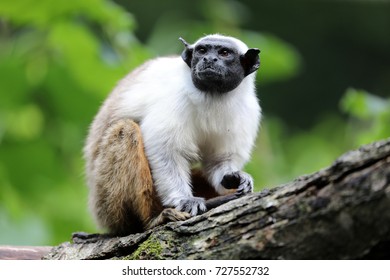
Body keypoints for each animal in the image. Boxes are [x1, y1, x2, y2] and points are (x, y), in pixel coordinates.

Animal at [83, 34, 260, 235]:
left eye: (224, 53)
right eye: (202, 51)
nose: (209, 60)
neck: (212, 96)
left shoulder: (248, 111)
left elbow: (218, 161)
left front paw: (234, 177)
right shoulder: (174, 100)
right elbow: (166, 152)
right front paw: (185, 200)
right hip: (106, 204)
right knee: (126, 131)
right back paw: (152, 219)